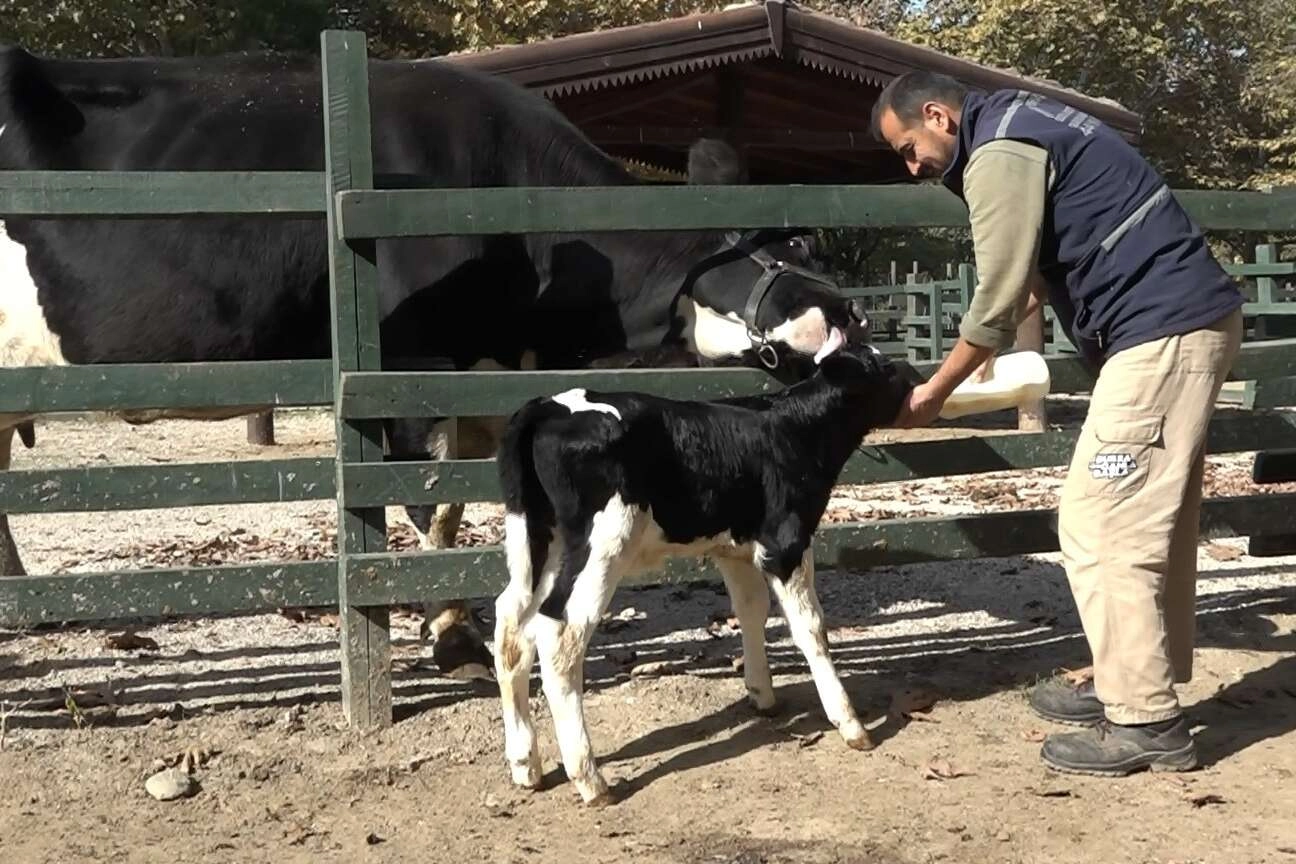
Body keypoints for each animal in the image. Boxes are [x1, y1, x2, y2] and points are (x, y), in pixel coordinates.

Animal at [0, 44, 870, 673]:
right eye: (779, 253)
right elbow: (433, 504)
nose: (843, 313)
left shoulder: (489, 378)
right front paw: (451, 638)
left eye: (810, 243)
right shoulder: (411, 368)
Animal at [492, 336, 912, 803]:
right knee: (560, 631)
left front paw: (761, 693)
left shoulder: (735, 549)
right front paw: (850, 723)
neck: (791, 429)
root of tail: (549, 405)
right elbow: (810, 627)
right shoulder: (786, 543)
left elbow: (751, 610)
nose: (916, 376)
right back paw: (590, 778)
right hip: (605, 541)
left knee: (512, 621)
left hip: (536, 539)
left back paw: (525, 763)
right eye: (883, 367)